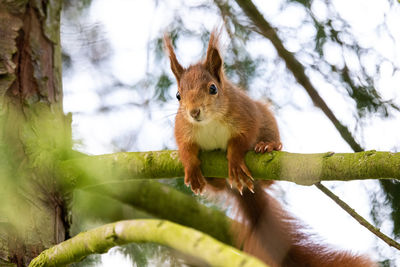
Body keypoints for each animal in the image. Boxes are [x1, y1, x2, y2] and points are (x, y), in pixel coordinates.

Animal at [164, 30, 376, 267]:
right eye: (178, 95)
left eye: (213, 88)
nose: (194, 112)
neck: (208, 123)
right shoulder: (182, 129)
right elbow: (185, 149)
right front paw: (191, 167)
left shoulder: (246, 115)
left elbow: (240, 141)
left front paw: (235, 160)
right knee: (217, 186)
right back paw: (211, 179)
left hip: (266, 123)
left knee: (268, 176)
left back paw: (266, 146)